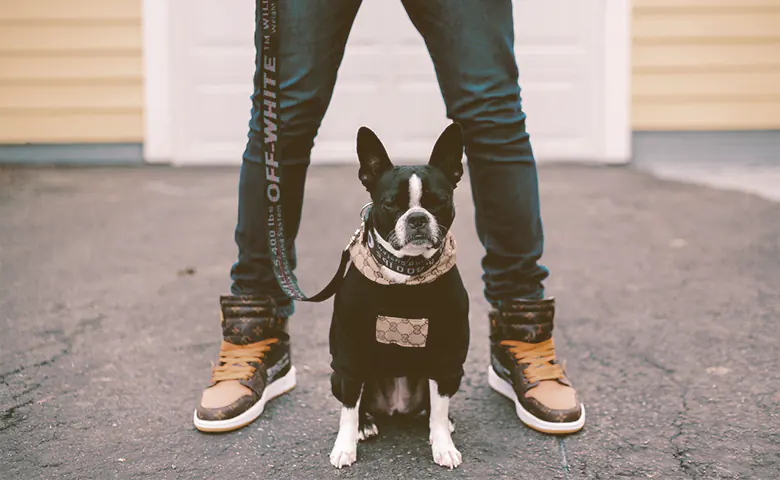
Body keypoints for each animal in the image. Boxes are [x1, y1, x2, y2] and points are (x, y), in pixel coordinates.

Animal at [328, 123, 470, 468]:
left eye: (439, 201)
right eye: (391, 204)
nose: (417, 218)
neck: (407, 270)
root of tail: (396, 406)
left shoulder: (447, 353)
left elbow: (439, 407)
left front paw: (442, 445)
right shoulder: (349, 355)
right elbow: (348, 410)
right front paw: (345, 446)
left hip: (452, 372)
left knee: (434, 406)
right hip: (338, 374)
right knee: (357, 401)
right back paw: (365, 424)